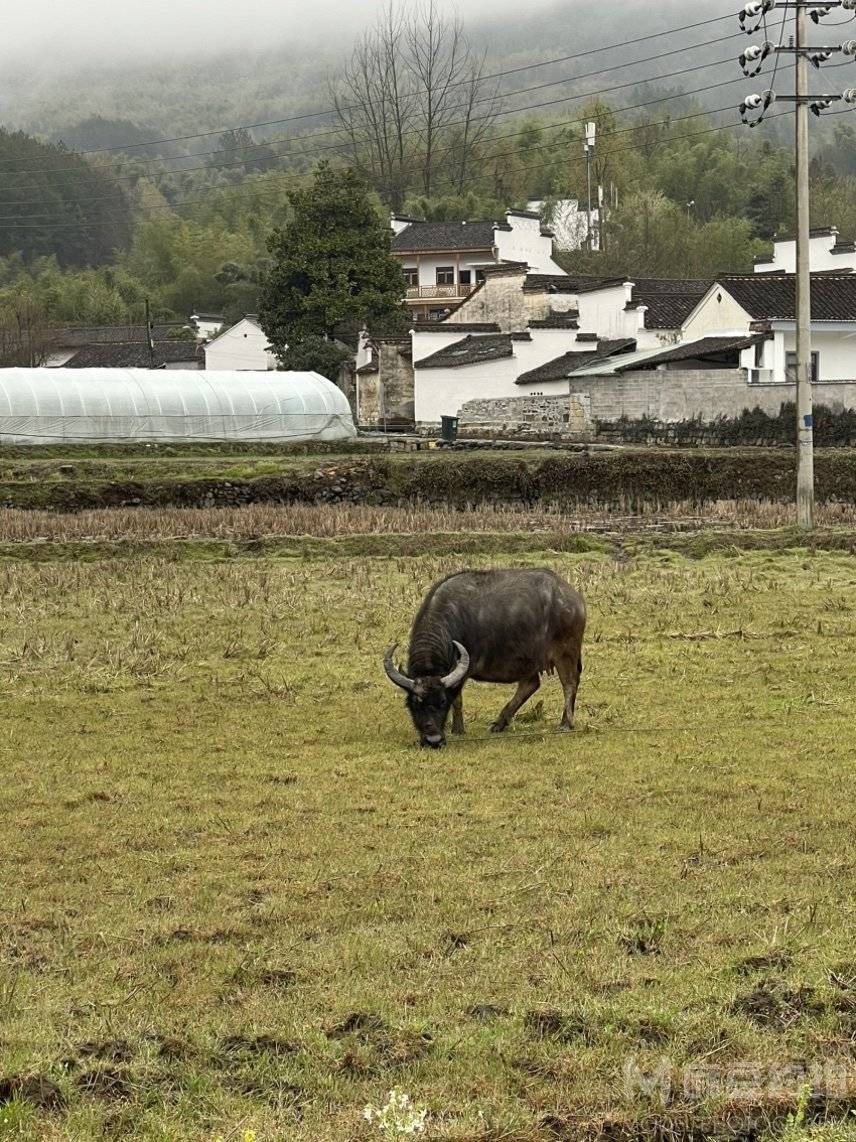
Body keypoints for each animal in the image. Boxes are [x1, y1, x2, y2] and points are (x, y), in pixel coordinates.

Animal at [385, 568, 588, 749]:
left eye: (442, 702)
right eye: (414, 703)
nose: (433, 740)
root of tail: (573, 598)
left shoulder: (464, 667)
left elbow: (457, 698)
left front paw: (458, 729)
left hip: (566, 652)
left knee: (569, 683)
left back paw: (565, 722)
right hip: (530, 660)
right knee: (530, 684)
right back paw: (499, 723)